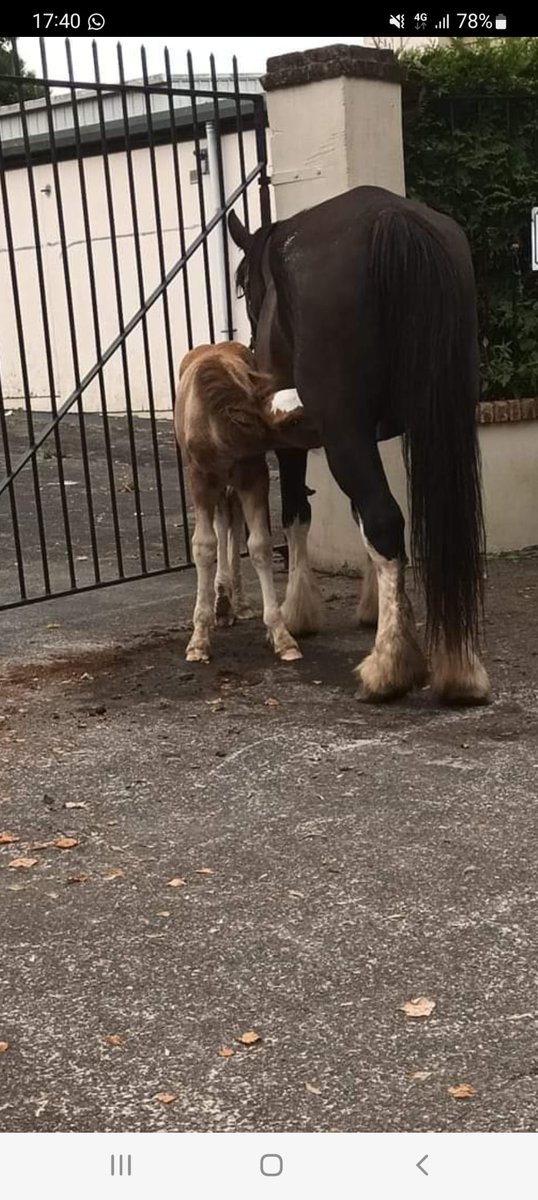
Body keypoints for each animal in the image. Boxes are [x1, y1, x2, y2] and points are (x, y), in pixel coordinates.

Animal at [175, 341, 319, 665]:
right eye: (292, 419)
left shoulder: (253, 475)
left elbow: (259, 545)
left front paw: (282, 637)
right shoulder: (200, 479)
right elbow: (204, 546)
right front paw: (198, 640)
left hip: (233, 484)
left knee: (232, 519)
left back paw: (236, 601)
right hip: (217, 485)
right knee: (222, 521)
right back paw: (223, 602)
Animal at [228, 184, 491, 705]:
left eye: (243, 284)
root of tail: (391, 217)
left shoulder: (298, 440)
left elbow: (298, 513)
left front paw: (300, 612)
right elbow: (357, 518)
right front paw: (381, 610)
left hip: (343, 433)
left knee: (385, 519)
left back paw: (389, 668)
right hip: (445, 416)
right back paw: (461, 668)